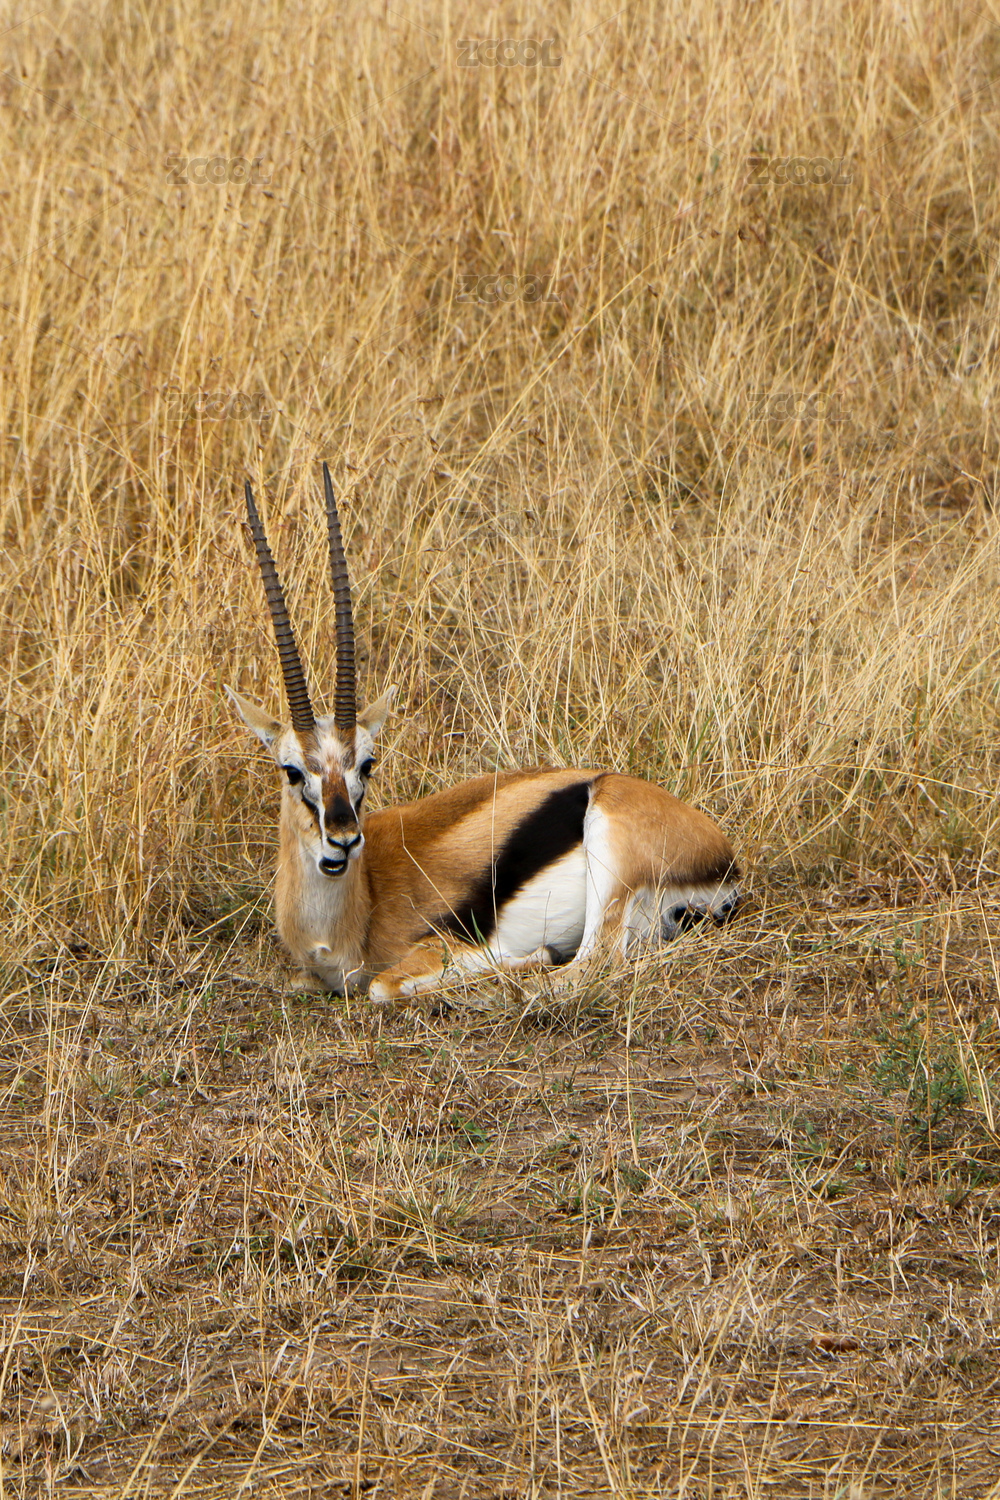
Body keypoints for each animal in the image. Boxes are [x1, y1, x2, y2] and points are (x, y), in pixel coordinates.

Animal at [227, 465, 740, 1002]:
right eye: (291, 770)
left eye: (367, 764)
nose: (343, 840)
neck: (357, 906)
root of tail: (721, 854)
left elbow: (384, 985)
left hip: (609, 868)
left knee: (578, 971)